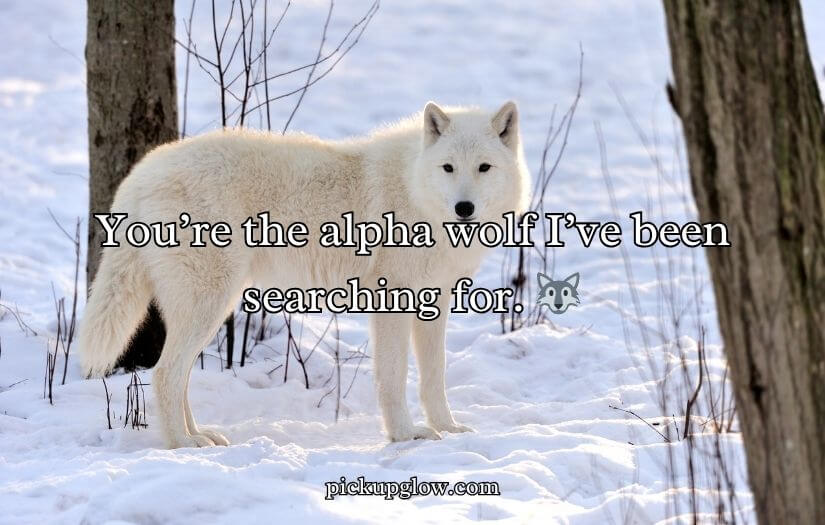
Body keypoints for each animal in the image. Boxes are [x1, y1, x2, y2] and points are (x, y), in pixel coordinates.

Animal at [78, 101, 531, 448]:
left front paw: (447, 429)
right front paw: (405, 436)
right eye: (448, 168)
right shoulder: (391, 303)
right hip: (210, 303)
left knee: (177, 376)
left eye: (484, 168)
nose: (464, 208)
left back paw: (200, 435)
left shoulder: (434, 304)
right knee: (165, 373)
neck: (414, 189)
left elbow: (434, 378)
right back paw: (182, 445)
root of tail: (142, 173)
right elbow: (393, 377)